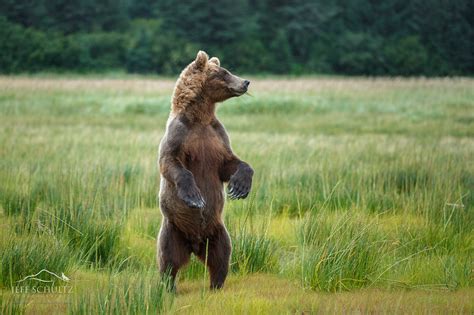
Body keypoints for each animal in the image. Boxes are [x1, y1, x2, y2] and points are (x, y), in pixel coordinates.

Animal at [157, 50, 254, 292]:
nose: (246, 81)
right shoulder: (179, 134)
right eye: (225, 72)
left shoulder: (217, 136)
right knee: (168, 259)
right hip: (172, 229)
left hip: (217, 231)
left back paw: (216, 285)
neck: (201, 117)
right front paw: (194, 197)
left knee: (222, 256)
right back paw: (168, 287)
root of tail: (194, 244)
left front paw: (239, 187)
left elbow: (230, 163)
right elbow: (169, 162)